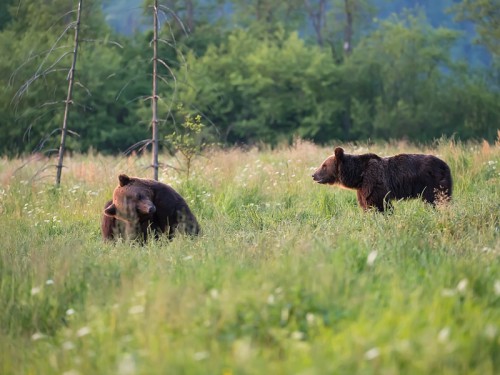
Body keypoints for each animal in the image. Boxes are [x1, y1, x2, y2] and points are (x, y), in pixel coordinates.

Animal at [310, 147, 452, 212]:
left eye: (324, 166)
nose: (313, 175)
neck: (358, 175)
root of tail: (445, 164)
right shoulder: (362, 189)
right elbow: (365, 204)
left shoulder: (374, 182)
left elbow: (378, 203)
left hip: (432, 184)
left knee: (435, 200)